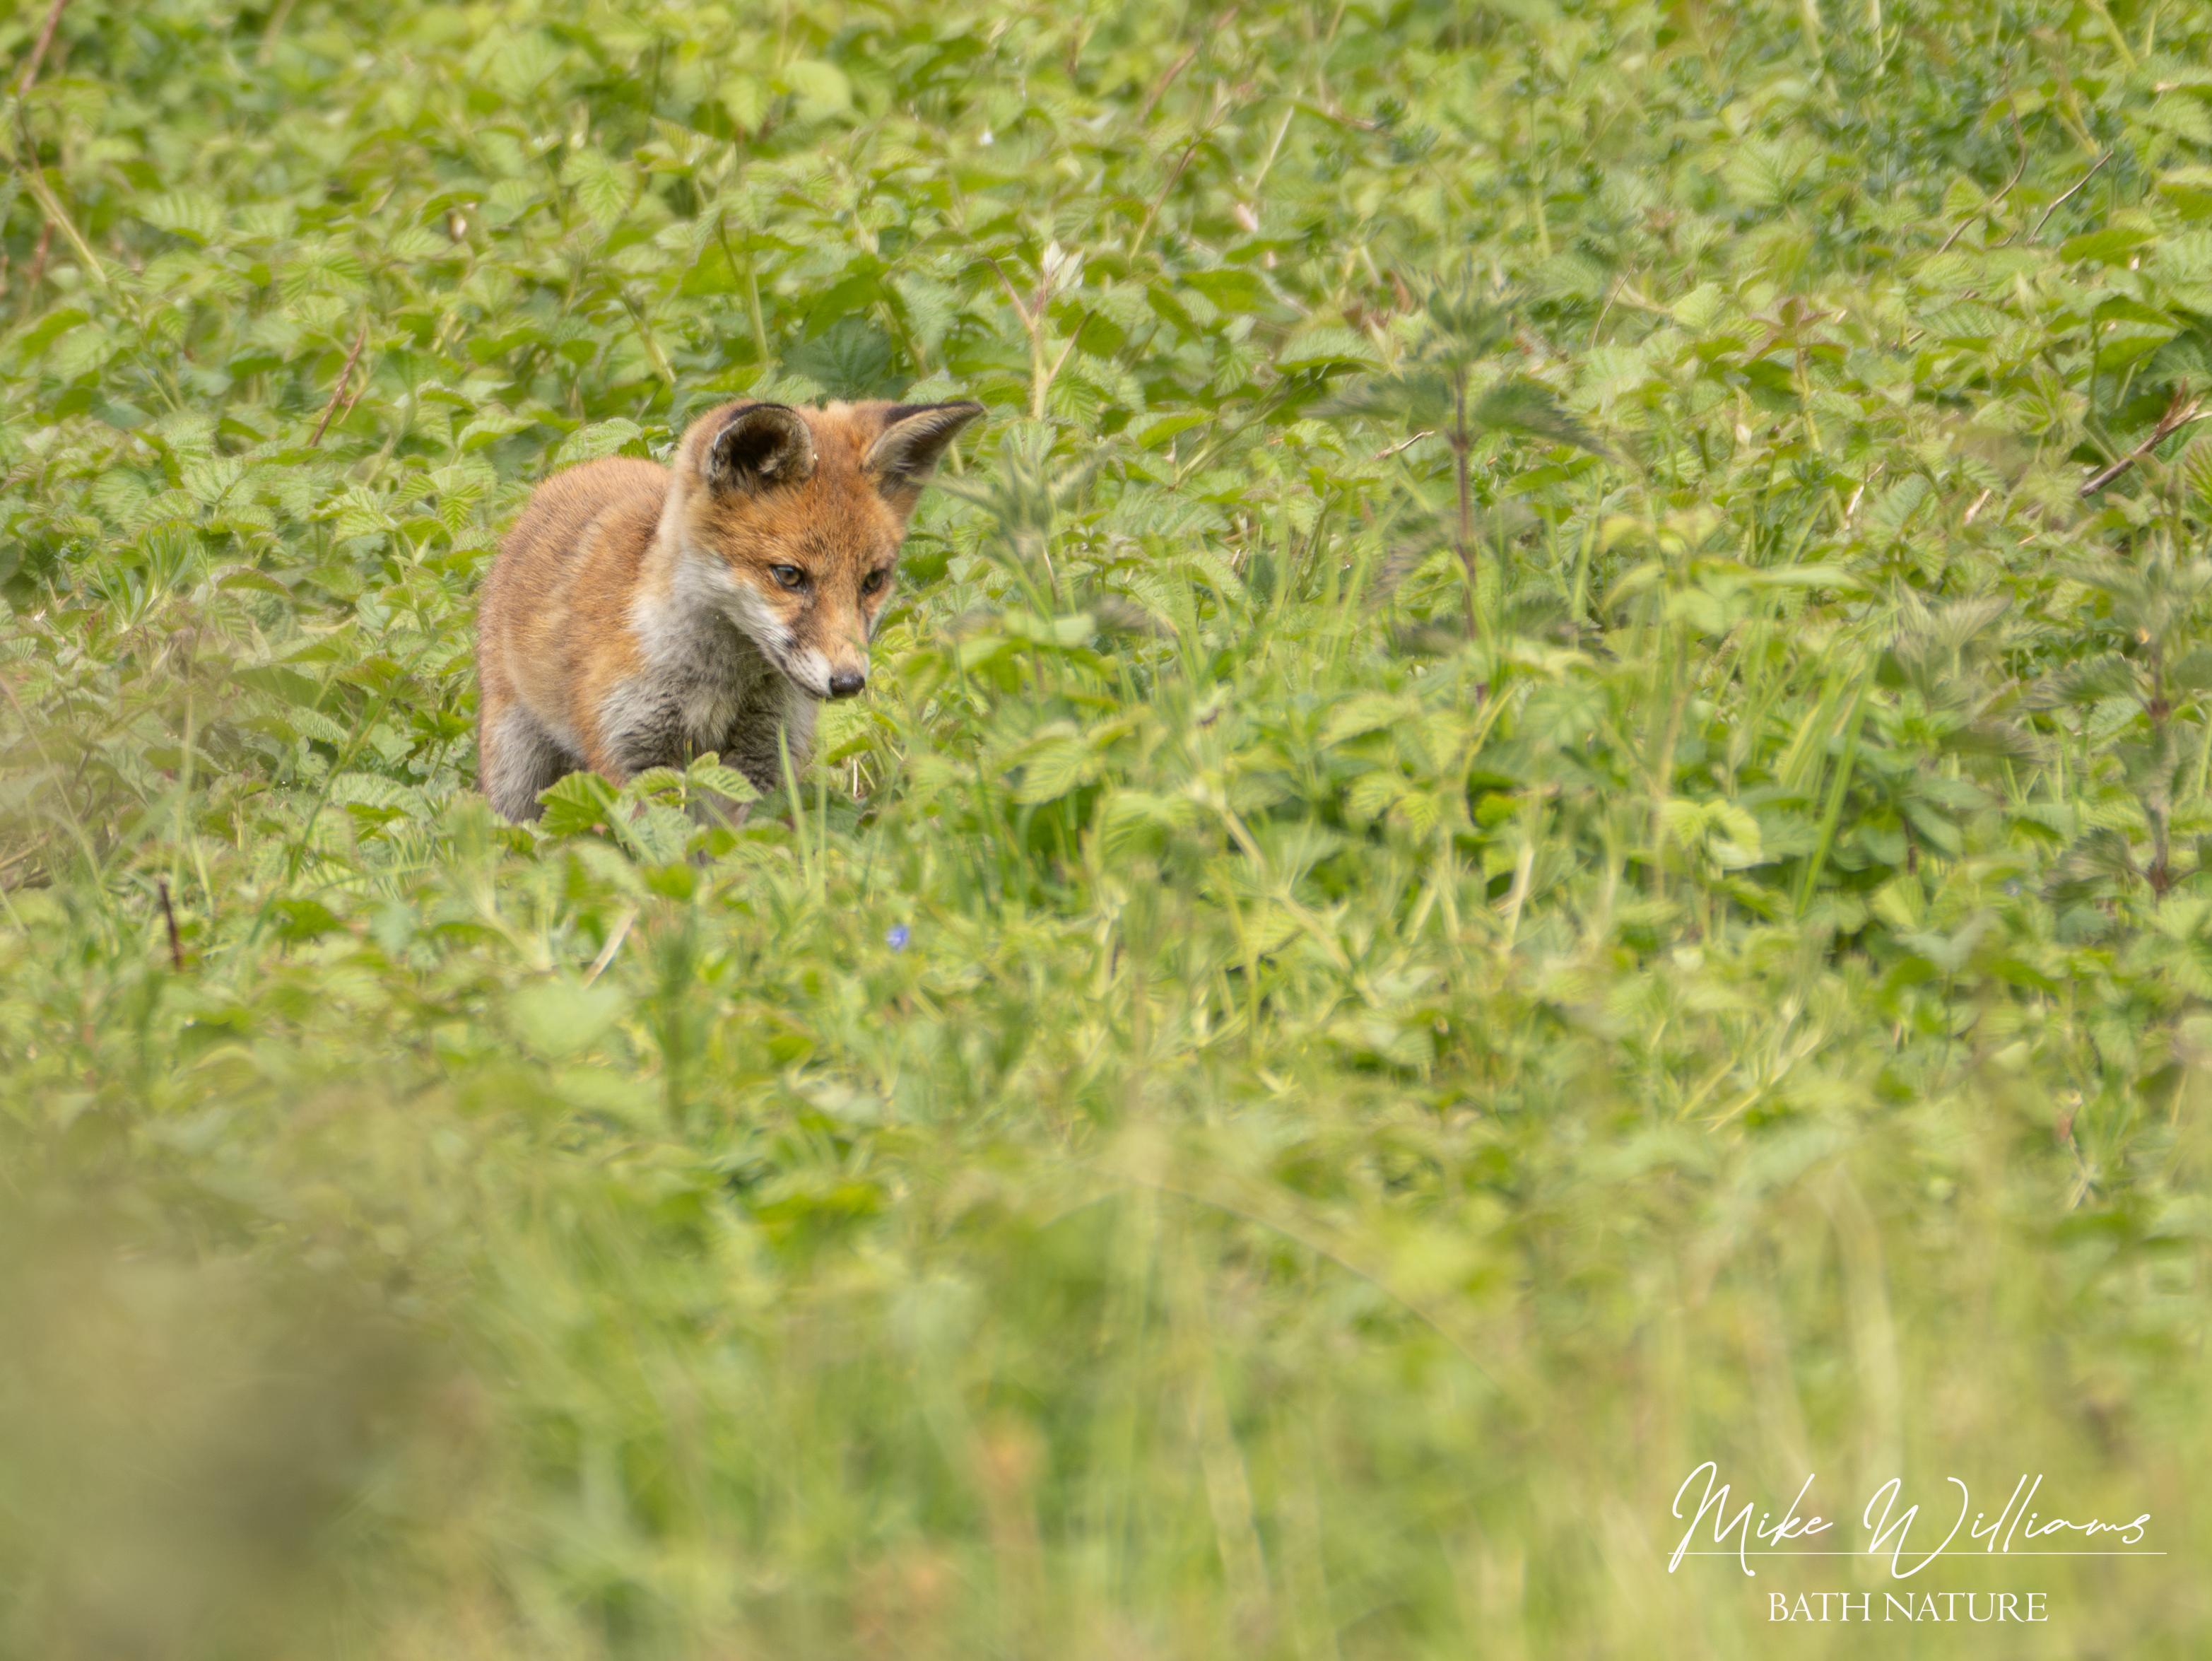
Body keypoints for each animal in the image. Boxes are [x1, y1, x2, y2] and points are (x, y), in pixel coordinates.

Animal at [475, 397, 983, 823]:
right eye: (789, 575)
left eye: (873, 581)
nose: (848, 682)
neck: (716, 682)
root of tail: (580, 468)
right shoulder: (633, 752)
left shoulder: (760, 759)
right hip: (516, 772)